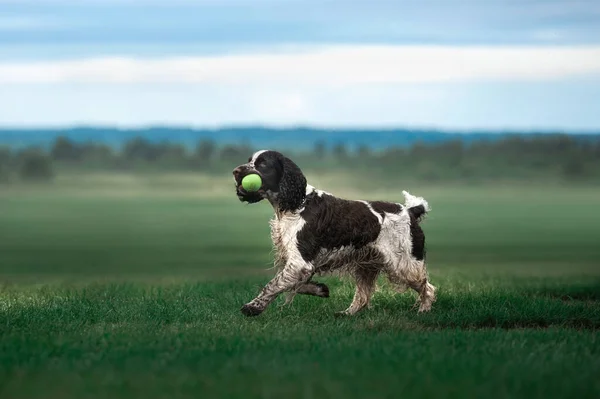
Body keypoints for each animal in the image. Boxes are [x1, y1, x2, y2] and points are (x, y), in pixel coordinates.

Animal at [231, 150, 436, 318]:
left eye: (263, 164)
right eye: (249, 161)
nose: (235, 171)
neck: (297, 204)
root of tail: (410, 211)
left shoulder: (300, 261)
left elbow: (272, 284)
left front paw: (253, 307)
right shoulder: (302, 264)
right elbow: (294, 283)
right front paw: (320, 289)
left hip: (405, 264)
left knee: (428, 288)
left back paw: (423, 311)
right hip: (367, 265)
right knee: (363, 295)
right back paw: (347, 314)